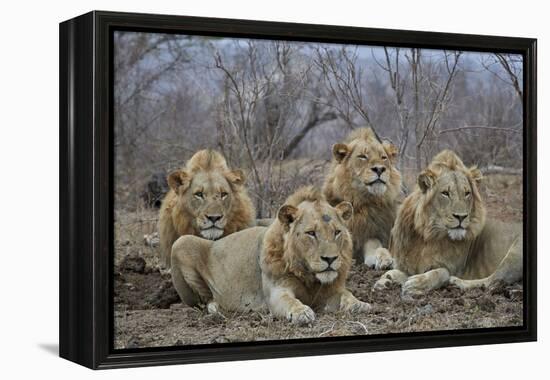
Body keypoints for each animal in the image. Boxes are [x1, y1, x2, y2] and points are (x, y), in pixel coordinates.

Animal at [170, 186, 374, 324]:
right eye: (311, 233)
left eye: (337, 232)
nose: (330, 259)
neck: (308, 275)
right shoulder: (276, 293)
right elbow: (290, 301)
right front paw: (302, 312)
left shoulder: (330, 291)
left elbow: (347, 295)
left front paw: (360, 304)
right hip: (181, 242)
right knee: (202, 302)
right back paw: (216, 308)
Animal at [376, 149, 528, 296]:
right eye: (445, 193)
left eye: (467, 193)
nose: (461, 217)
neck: (427, 235)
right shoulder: (409, 264)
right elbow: (395, 271)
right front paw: (386, 280)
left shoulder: (455, 268)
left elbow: (441, 272)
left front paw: (417, 283)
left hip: (516, 253)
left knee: (494, 280)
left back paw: (457, 282)